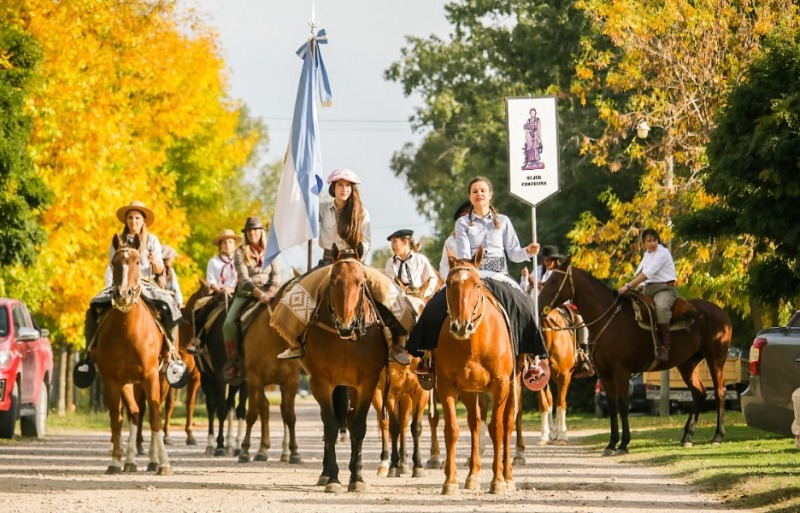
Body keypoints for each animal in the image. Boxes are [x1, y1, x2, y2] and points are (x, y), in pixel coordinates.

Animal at [94, 234, 172, 474]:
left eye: (138, 262)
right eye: (114, 262)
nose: (123, 294)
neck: (127, 332)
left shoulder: (151, 376)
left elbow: (155, 419)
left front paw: (164, 463)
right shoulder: (113, 380)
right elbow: (117, 420)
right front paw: (115, 461)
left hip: (160, 381)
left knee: (152, 414)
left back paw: (154, 460)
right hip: (129, 384)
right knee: (136, 414)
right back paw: (130, 461)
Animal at [238, 292, 304, 464]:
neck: (274, 338)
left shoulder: (291, 382)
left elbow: (290, 416)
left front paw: (295, 452)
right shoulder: (254, 380)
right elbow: (251, 415)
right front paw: (244, 451)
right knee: (263, 408)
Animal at [300, 244, 388, 492]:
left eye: (360, 282)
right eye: (332, 281)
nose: (345, 324)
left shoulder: (367, 383)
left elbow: (357, 426)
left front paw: (356, 477)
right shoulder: (320, 382)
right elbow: (329, 426)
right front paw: (333, 478)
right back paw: (325, 473)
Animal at [434, 246, 516, 494]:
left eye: (477, 284)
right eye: (449, 283)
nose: (461, 326)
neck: (473, 343)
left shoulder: (501, 385)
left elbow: (497, 428)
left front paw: (497, 481)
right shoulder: (446, 386)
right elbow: (452, 430)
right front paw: (450, 481)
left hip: (513, 386)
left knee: (507, 424)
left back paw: (508, 476)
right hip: (471, 391)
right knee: (474, 424)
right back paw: (473, 476)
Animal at [536, 258, 732, 454]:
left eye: (554, 280)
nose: (538, 307)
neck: (609, 320)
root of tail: (721, 314)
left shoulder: (621, 373)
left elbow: (623, 406)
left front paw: (623, 444)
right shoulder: (604, 375)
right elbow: (613, 407)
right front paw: (611, 444)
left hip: (716, 360)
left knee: (720, 392)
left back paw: (717, 436)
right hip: (687, 364)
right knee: (699, 393)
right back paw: (687, 437)